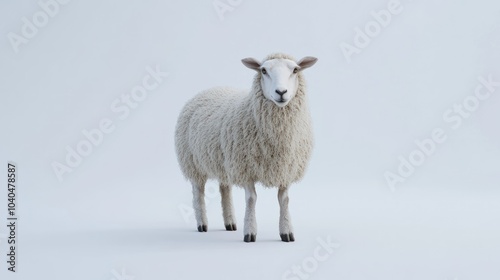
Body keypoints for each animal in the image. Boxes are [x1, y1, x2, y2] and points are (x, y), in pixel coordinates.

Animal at [176, 53, 316, 243]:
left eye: (295, 70)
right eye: (263, 70)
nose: (281, 92)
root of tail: (209, 90)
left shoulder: (286, 168)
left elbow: (284, 200)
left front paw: (286, 232)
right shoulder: (245, 167)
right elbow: (251, 199)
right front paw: (250, 232)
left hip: (223, 163)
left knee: (224, 189)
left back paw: (230, 223)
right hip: (193, 163)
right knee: (198, 193)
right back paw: (202, 224)